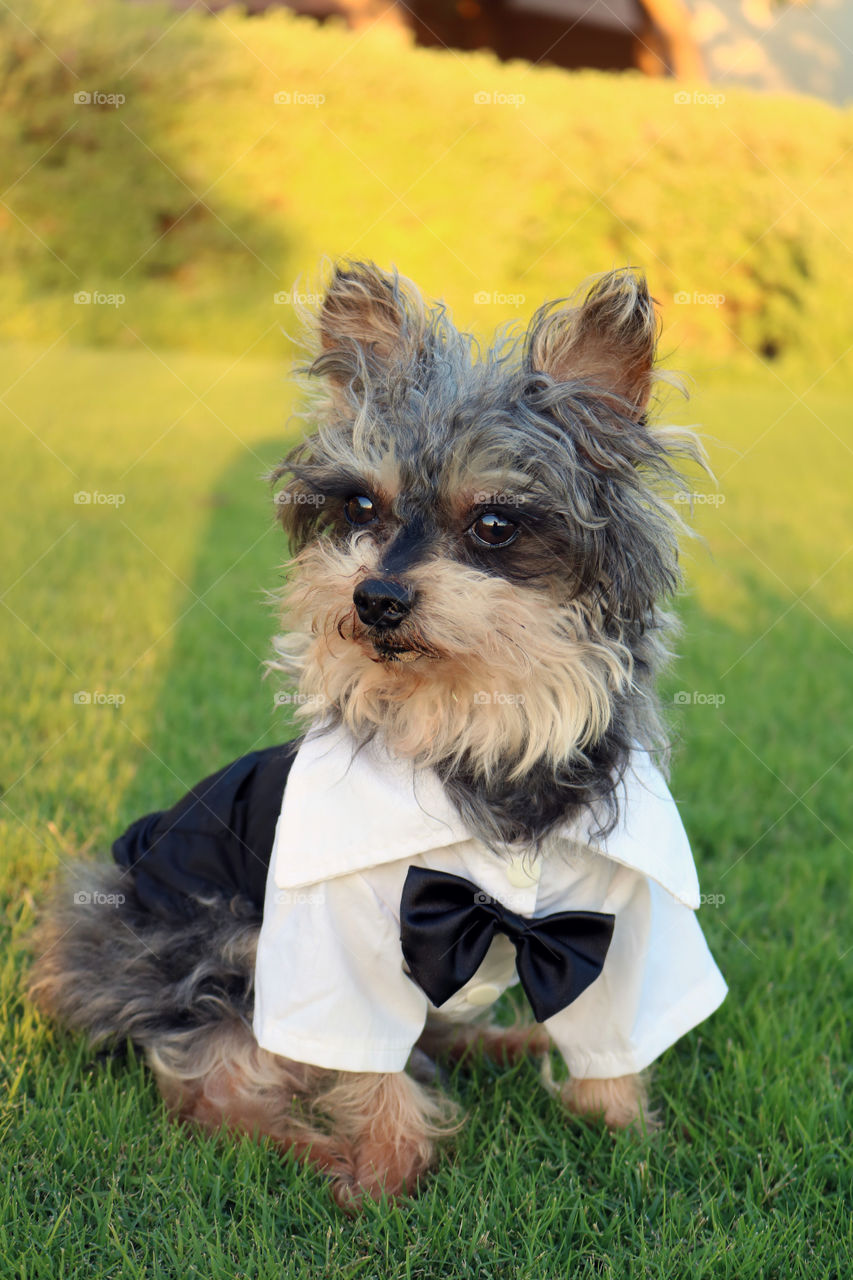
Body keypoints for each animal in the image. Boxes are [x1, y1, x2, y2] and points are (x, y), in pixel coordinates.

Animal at [31, 262, 722, 1208]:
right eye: (362, 505)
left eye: (494, 524)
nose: (375, 598)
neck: (477, 732)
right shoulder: (328, 934)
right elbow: (363, 1066)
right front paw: (387, 1173)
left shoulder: (626, 910)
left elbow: (613, 1038)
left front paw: (627, 1142)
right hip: (201, 941)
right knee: (210, 1084)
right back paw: (304, 1146)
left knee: (429, 1032)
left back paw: (510, 1044)